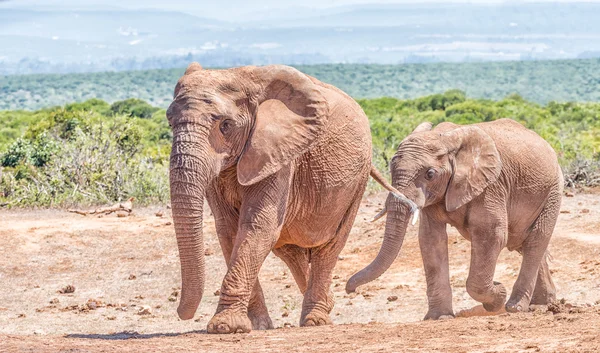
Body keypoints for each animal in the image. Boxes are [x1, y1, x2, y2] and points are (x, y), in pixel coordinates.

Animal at [166, 62, 414, 332]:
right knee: (290, 252)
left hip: (357, 181)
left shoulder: (279, 155)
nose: (182, 314)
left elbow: (257, 226)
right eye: (169, 123)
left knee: (330, 246)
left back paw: (316, 320)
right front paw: (258, 326)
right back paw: (327, 304)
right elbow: (229, 230)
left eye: (226, 125)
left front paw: (225, 327)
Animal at [346, 119, 564, 320]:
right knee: (524, 243)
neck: (444, 139)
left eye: (430, 174)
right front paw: (438, 317)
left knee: (535, 242)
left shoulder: (491, 186)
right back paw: (543, 304)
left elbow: (492, 235)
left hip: (553, 190)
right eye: (391, 167)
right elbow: (431, 240)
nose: (350, 290)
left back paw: (515, 307)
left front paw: (497, 296)